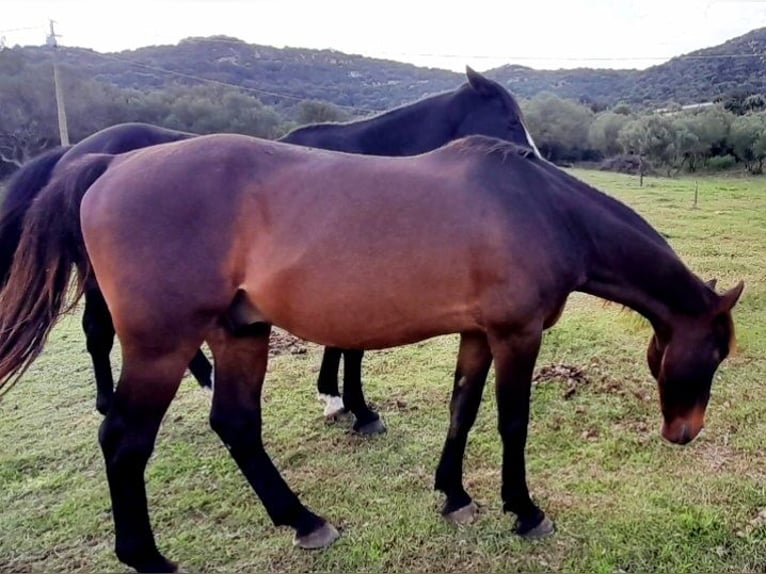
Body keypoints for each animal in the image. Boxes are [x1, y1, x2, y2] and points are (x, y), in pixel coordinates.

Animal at [0, 65, 540, 432]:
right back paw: (113, 401)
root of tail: (81, 155)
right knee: (98, 332)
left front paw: (335, 398)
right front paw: (356, 408)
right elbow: (351, 346)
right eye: (511, 121)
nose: (534, 162)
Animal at [0, 133, 744, 572]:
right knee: (124, 440)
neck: (543, 210)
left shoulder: (478, 335)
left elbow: (462, 410)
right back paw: (147, 556)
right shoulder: (517, 335)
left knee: (236, 424)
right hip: (161, 346)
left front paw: (453, 494)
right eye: (712, 355)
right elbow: (512, 423)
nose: (685, 432)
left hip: (238, 332)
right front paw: (524, 510)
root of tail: (110, 164)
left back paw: (302, 520)